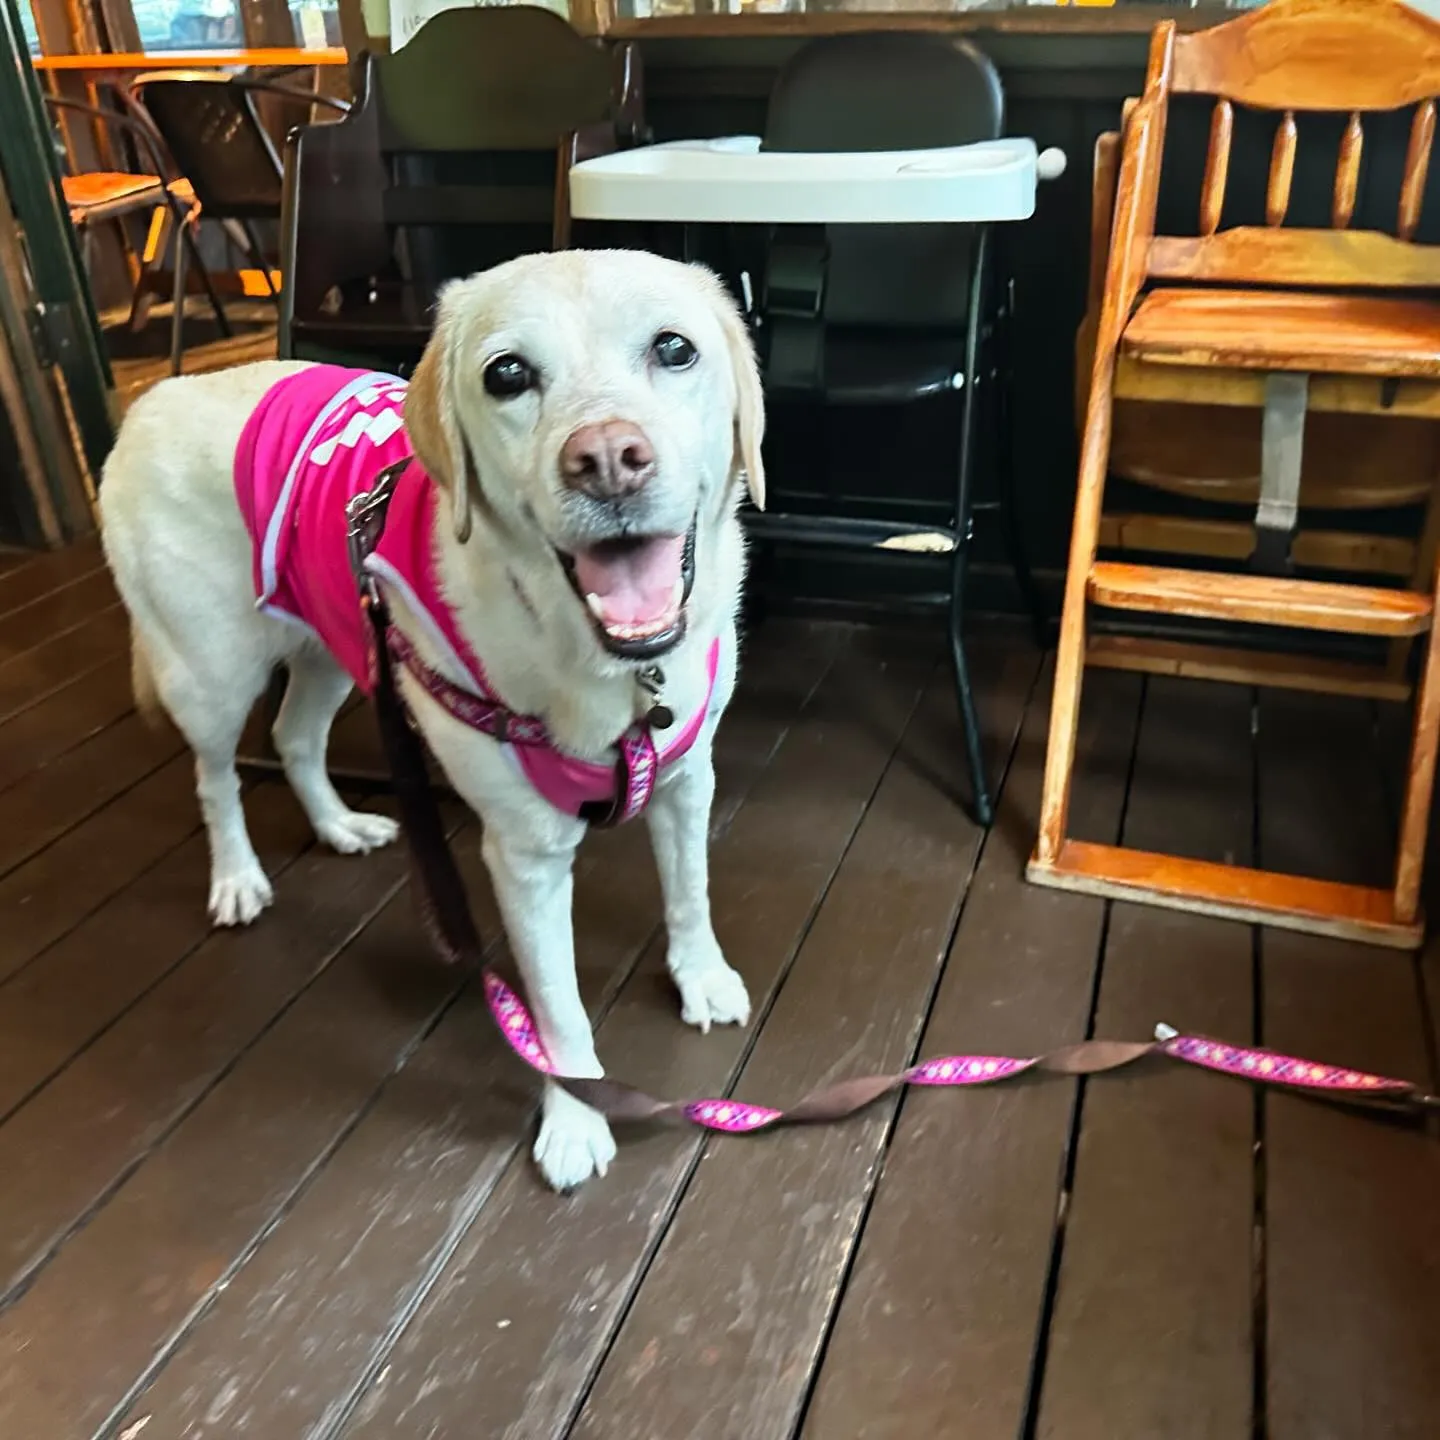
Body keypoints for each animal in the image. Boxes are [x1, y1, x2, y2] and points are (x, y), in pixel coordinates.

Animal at [98, 250, 766, 1192]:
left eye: (675, 348)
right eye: (508, 374)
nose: (607, 460)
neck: (615, 673)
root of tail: (156, 398)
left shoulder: (684, 780)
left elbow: (690, 894)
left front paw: (701, 976)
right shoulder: (524, 858)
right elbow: (555, 1007)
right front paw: (576, 1118)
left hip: (336, 641)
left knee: (294, 739)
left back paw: (341, 826)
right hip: (211, 670)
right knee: (216, 775)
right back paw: (237, 878)